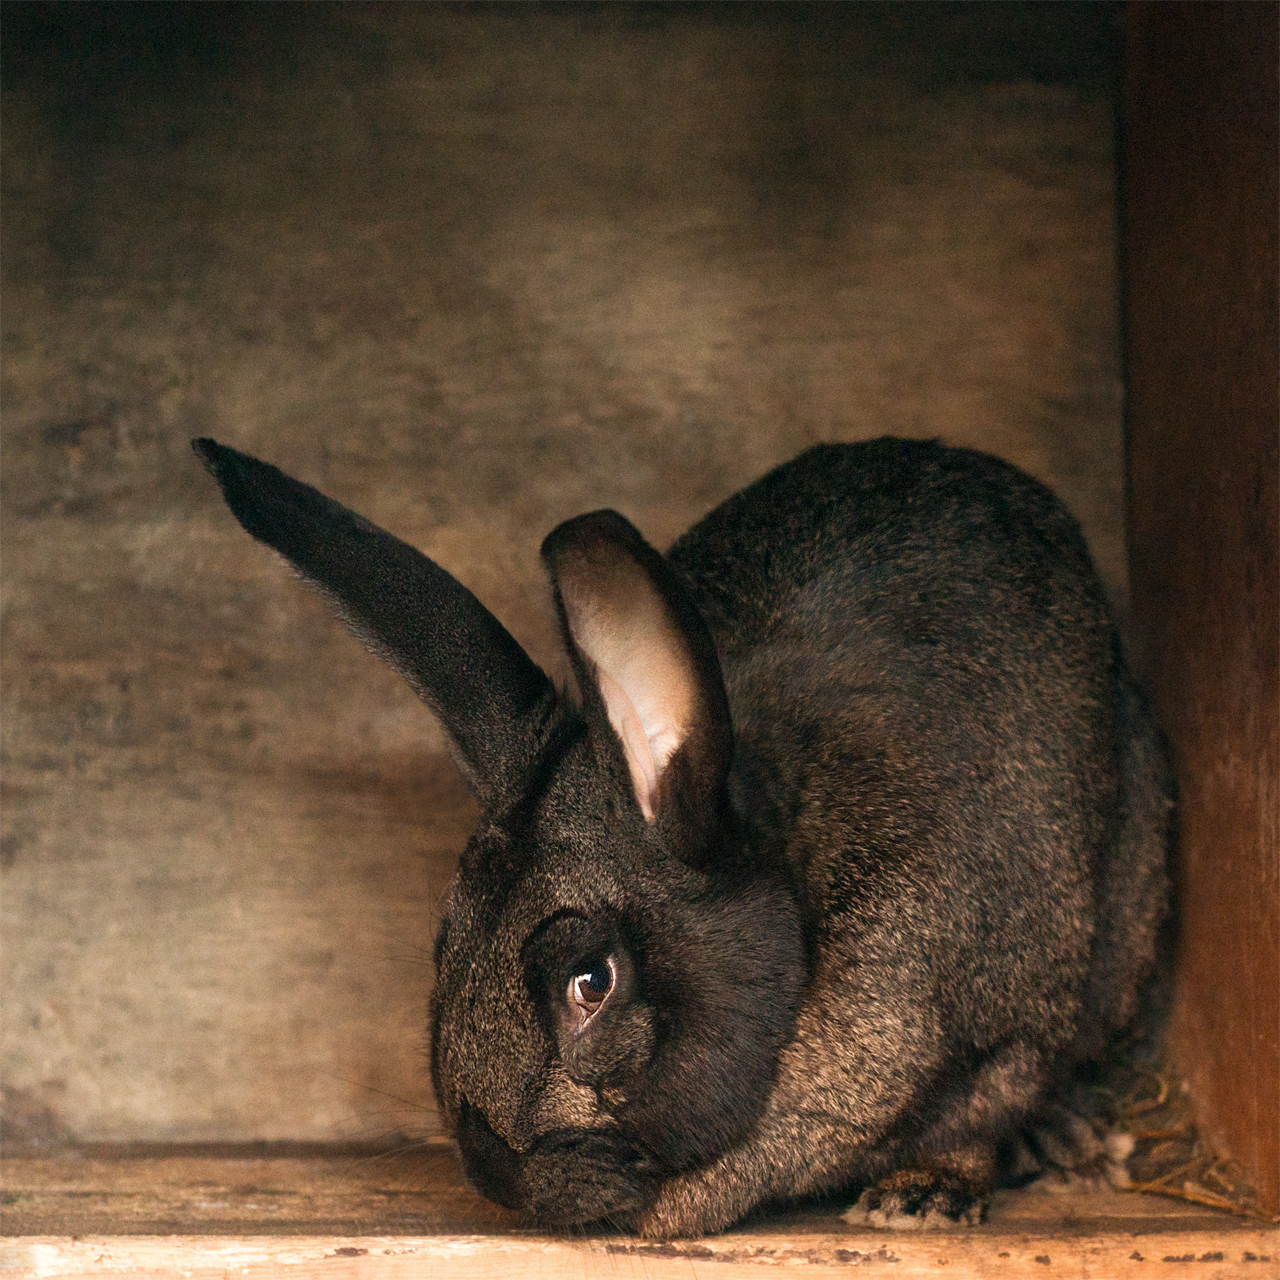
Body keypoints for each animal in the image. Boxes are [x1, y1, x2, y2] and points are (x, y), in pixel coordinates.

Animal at [192, 435, 1172, 1233]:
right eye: (444, 944)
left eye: (592, 982)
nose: (490, 1174)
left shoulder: (1013, 1025)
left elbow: (972, 1118)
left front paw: (917, 1200)